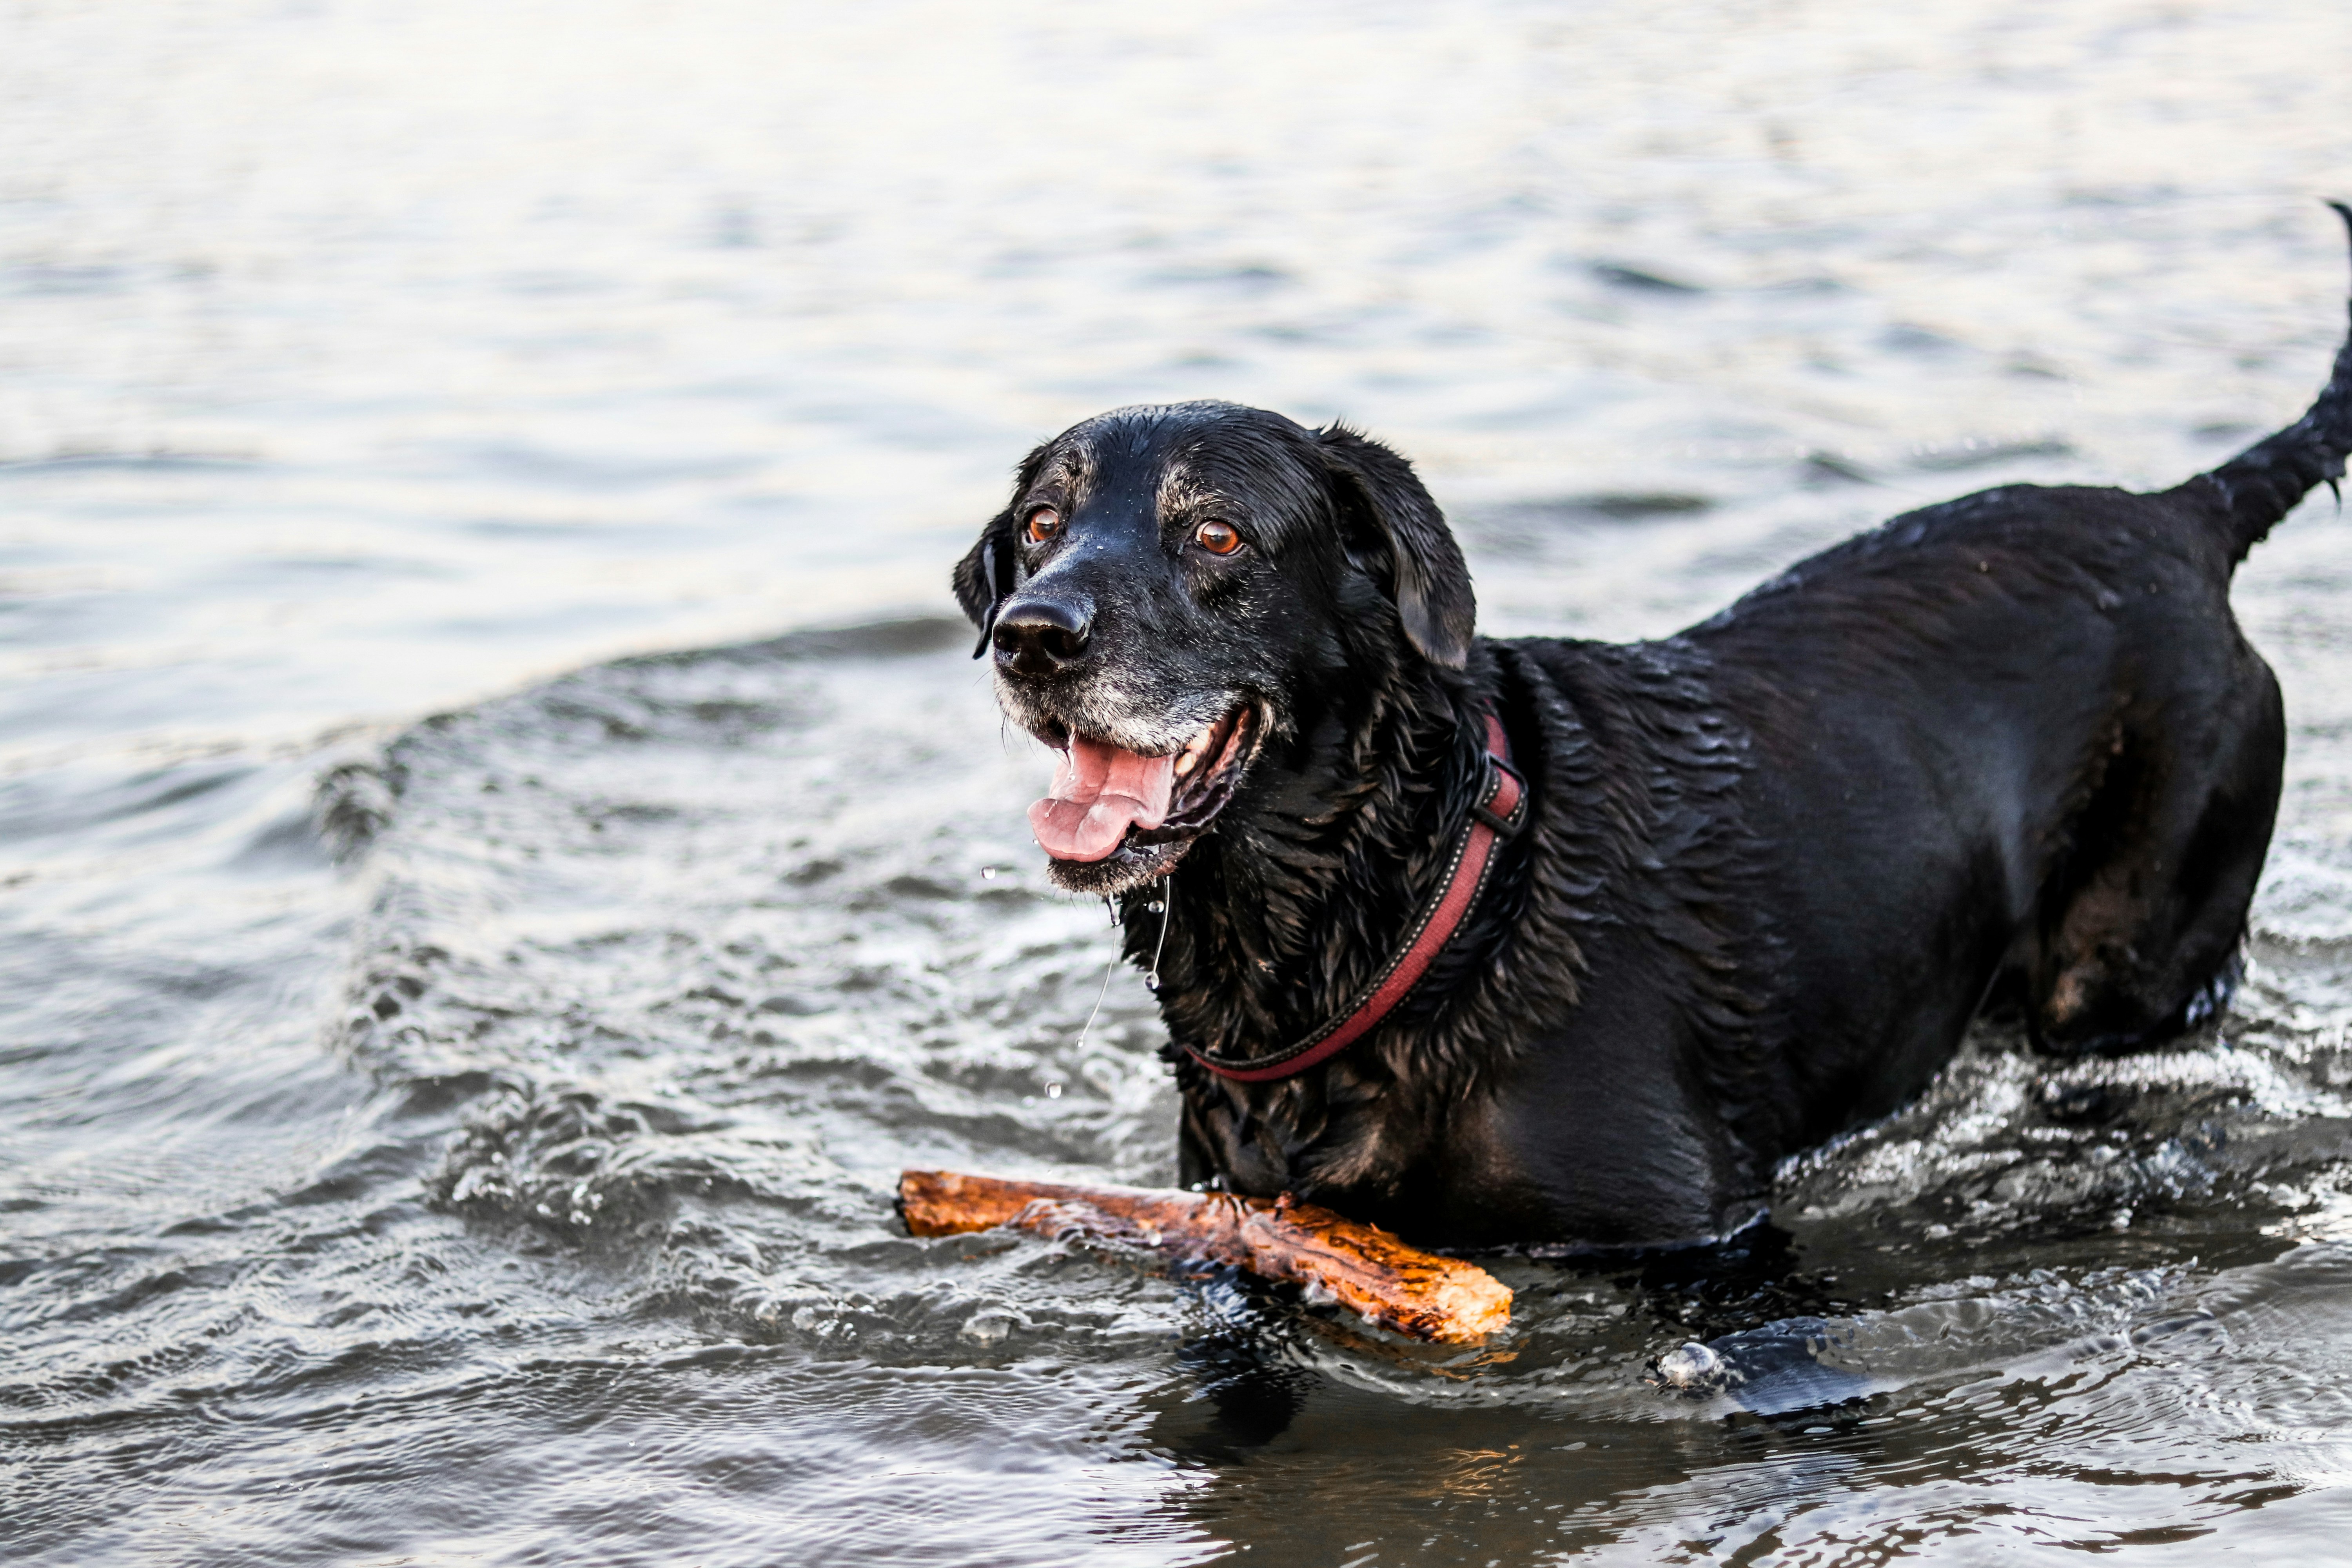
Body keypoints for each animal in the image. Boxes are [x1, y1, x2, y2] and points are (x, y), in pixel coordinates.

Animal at [950, 215, 2352, 1250]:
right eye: (1038, 526)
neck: (1415, 898)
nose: (1031, 636)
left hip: (2132, 958)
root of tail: (2182, 515)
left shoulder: (1705, 1234)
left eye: (1216, 534)